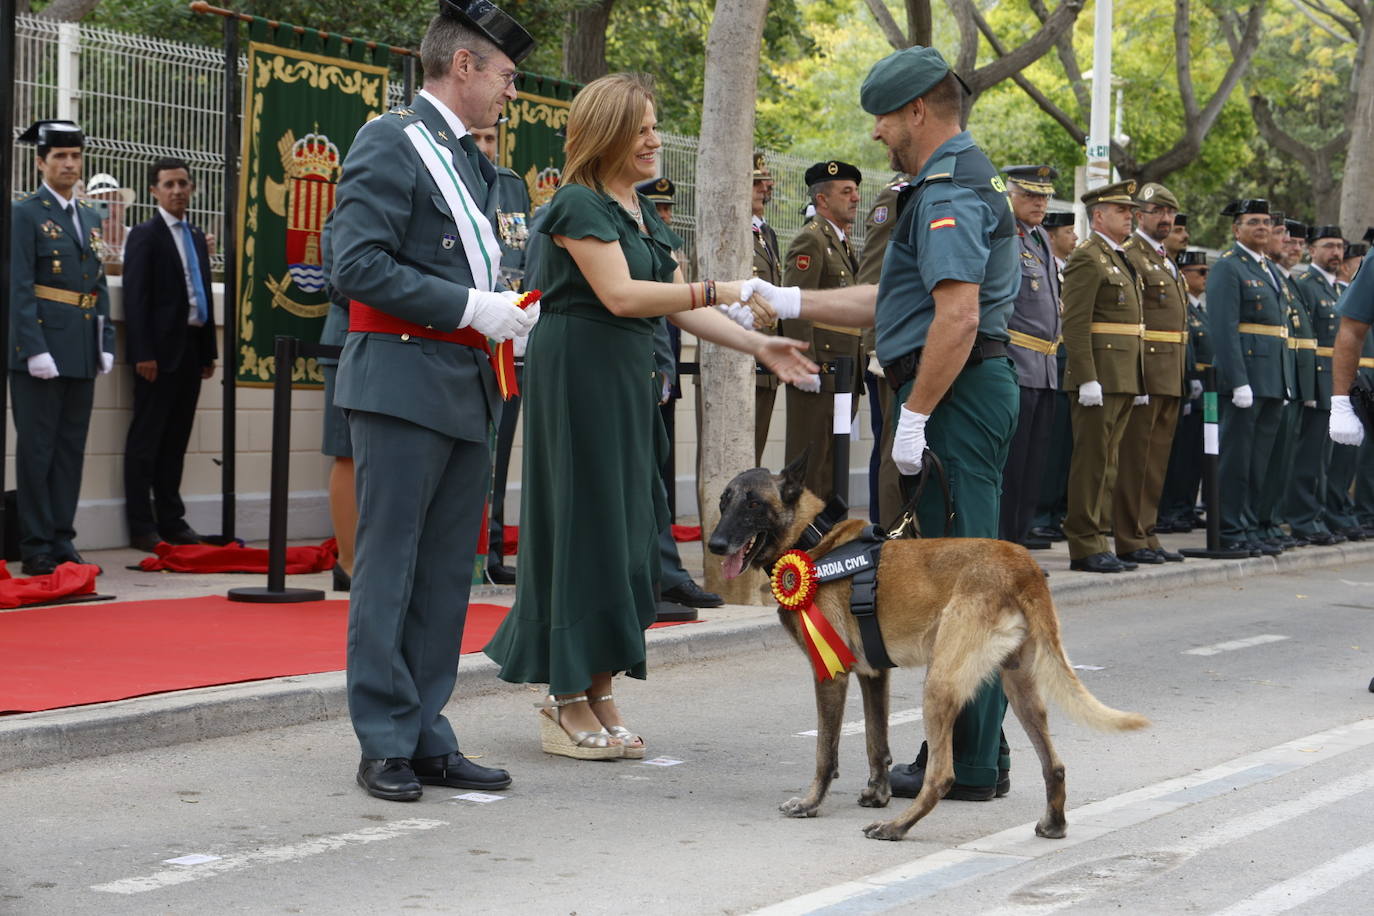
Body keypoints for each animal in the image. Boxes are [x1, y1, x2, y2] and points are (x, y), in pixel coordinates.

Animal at [708, 455, 1148, 840]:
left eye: (754, 503)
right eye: (724, 501)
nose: (714, 544)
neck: (813, 542)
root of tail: (1021, 565)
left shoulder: (830, 674)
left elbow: (825, 752)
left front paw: (811, 803)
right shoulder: (874, 675)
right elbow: (876, 742)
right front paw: (878, 793)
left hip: (938, 685)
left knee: (942, 776)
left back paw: (896, 828)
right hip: (1020, 689)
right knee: (1053, 765)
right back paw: (1054, 823)